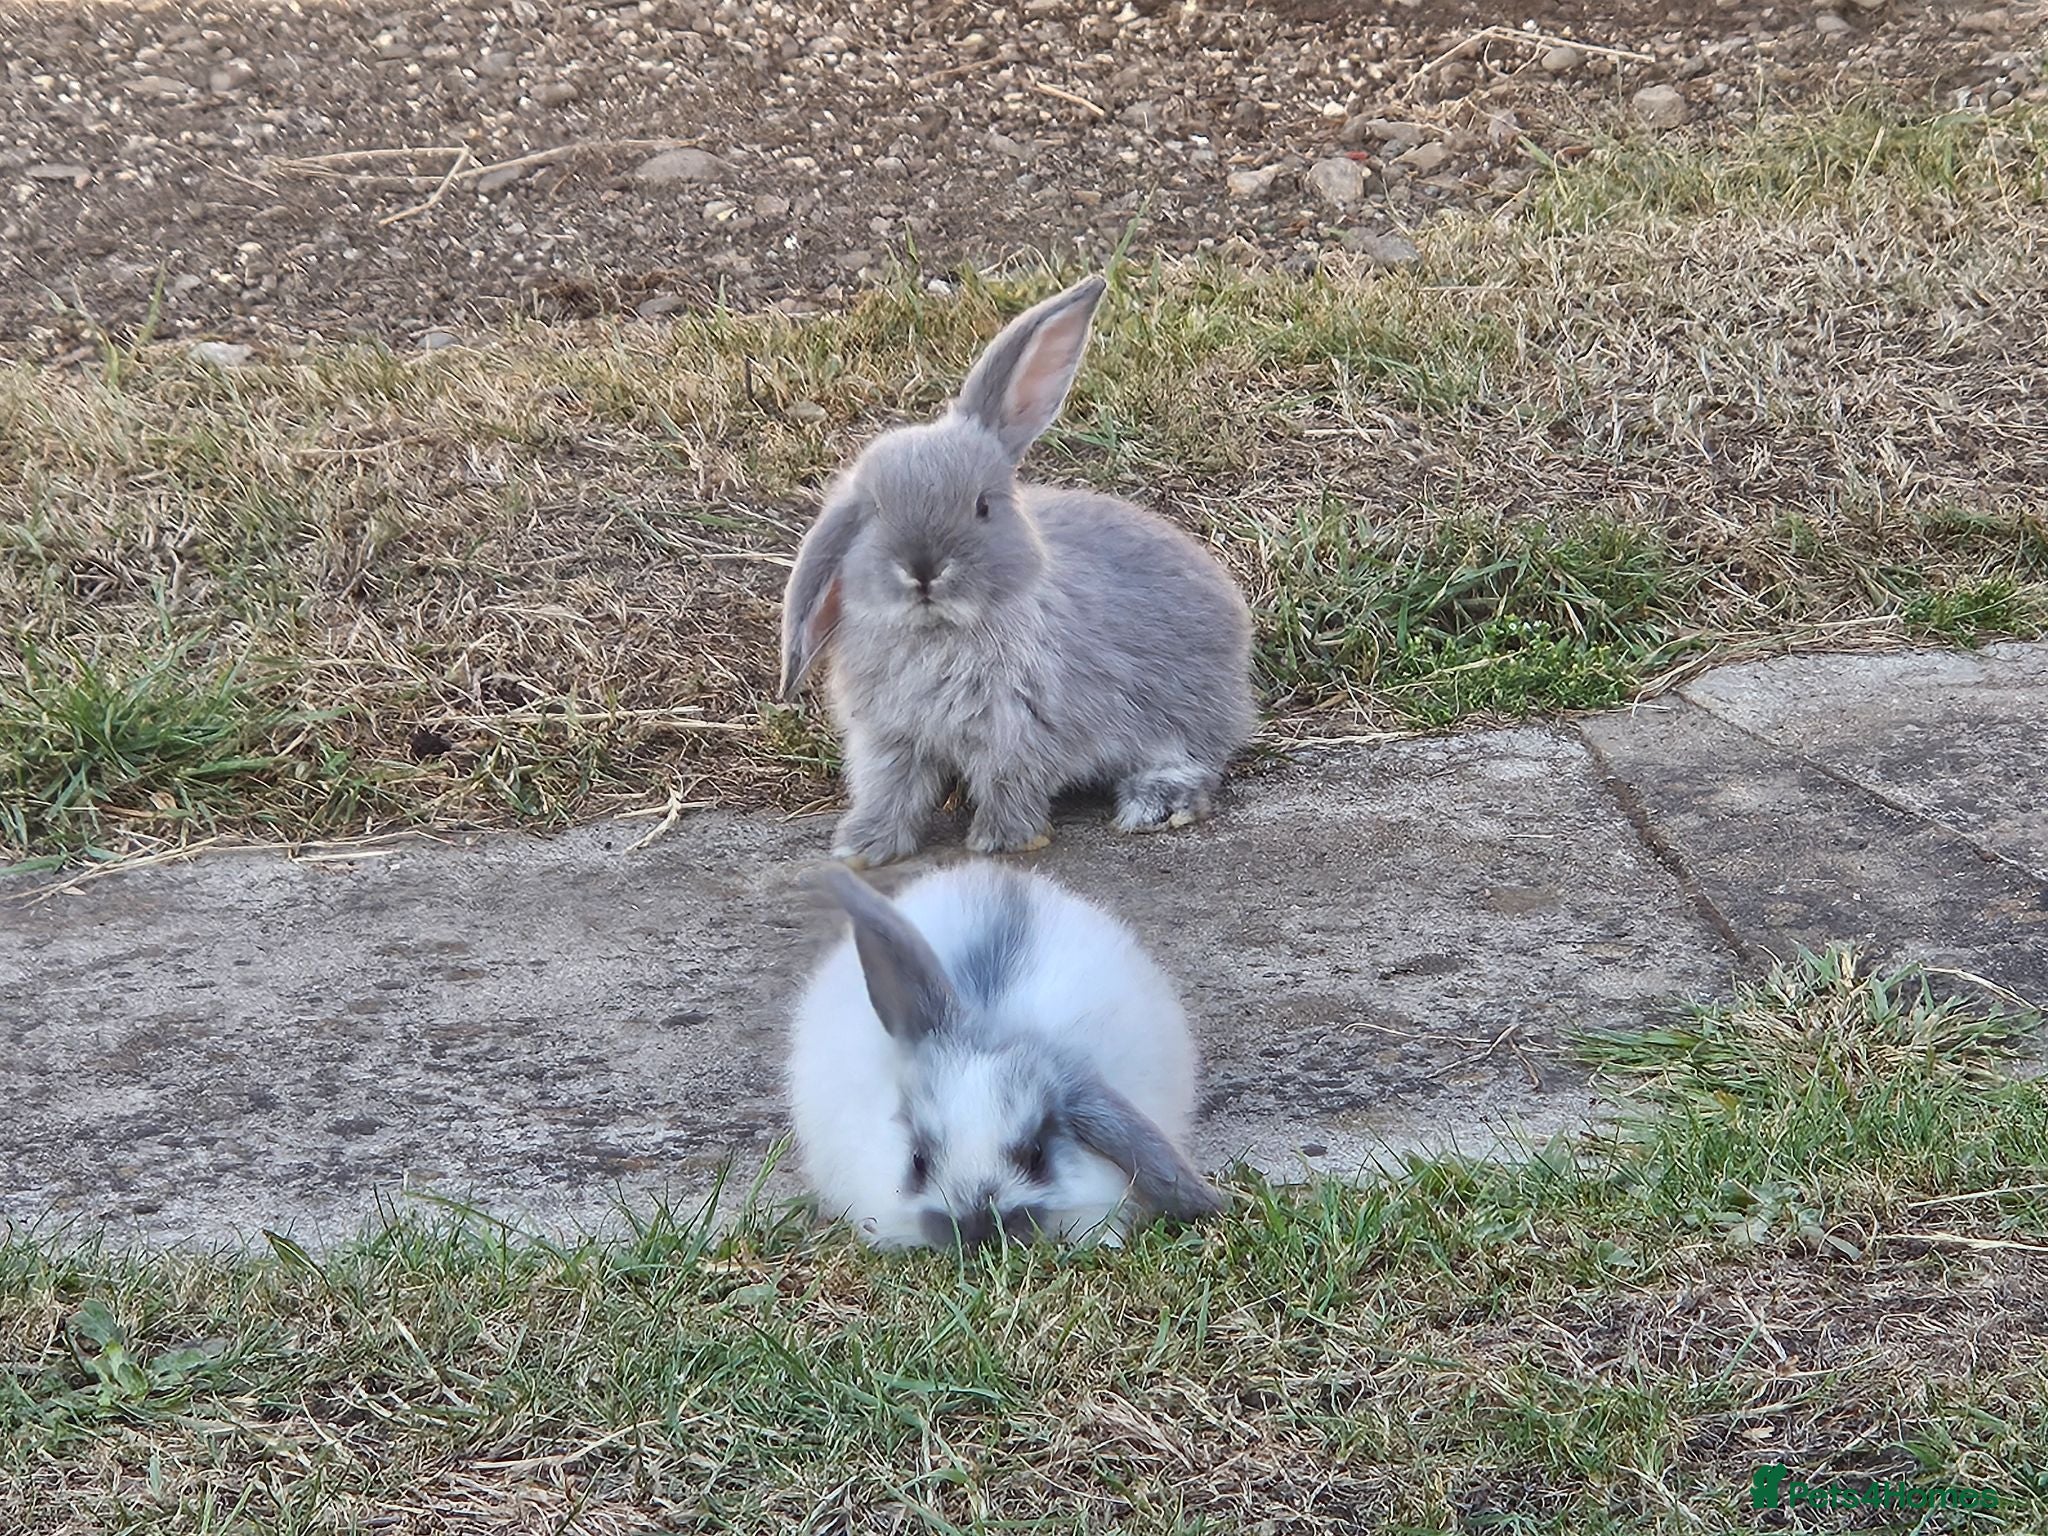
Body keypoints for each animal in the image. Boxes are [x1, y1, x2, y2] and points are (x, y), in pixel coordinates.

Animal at [777, 273, 1257, 867]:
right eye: (875, 511)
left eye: (983, 506)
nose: (923, 570)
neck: (938, 631)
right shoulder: (889, 739)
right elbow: (891, 791)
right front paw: (864, 848)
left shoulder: (1019, 731)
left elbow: (1010, 786)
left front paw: (1004, 841)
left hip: (1186, 708)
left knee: (1193, 757)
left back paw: (1155, 807)